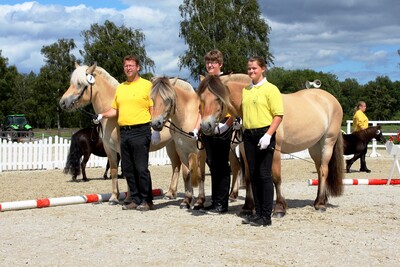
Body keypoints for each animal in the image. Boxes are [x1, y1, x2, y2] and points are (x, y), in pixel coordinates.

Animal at [59, 63, 202, 207]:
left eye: (80, 84)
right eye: (72, 83)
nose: (62, 103)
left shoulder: (123, 149)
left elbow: (127, 171)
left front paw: (128, 199)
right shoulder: (110, 150)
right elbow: (114, 171)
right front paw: (113, 197)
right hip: (172, 145)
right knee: (176, 166)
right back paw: (170, 194)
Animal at [198, 74, 346, 217]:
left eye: (218, 98)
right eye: (202, 99)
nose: (205, 126)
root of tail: (331, 99)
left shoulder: (274, 151)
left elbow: (276, 178)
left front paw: (280, 208)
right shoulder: (245, 151)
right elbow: (248, 178)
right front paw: (247, 208)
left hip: (327, 142)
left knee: (324, 170)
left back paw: (320, 204)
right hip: (314, 146)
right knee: (319, 169)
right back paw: (320, 200)